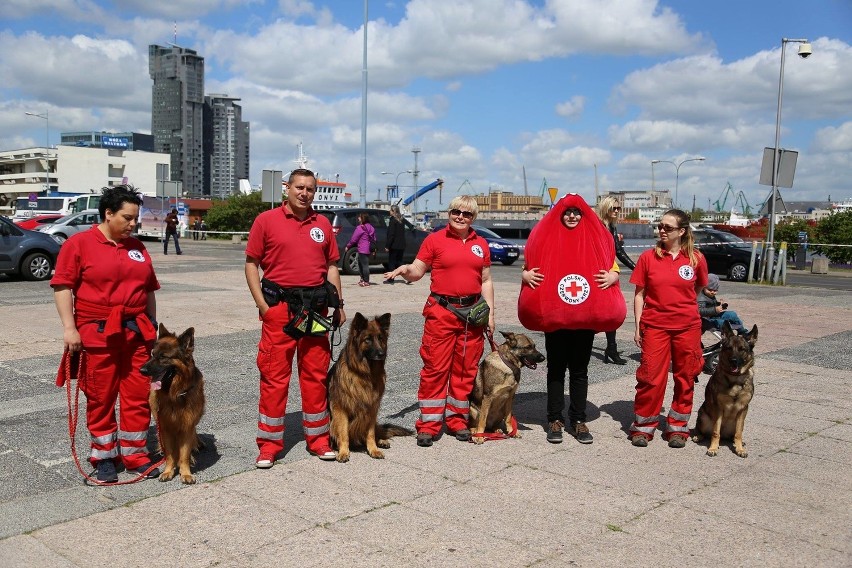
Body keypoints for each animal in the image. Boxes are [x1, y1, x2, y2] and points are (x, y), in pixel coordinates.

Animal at [141, 324, 206, 484]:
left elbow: (184, 455)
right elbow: (170, 454)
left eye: (163, 357)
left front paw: (186, 473)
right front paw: (168, 471)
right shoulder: (165, 428)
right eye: (152, 354)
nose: (142, 370)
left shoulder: (187, 426)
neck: (174, 394)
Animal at [328, 312, 412, 464]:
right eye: (368, 339)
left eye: (380, 338)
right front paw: (343, 452)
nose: (382, 354)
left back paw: (382, 441)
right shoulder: (340, 409)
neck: (364, 374)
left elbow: (371, 433)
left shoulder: (372, 408)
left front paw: (373, 450)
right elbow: (343, 433)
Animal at [692, 322, 760, 460]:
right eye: (729, 348)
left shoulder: (743, 408)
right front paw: (713, 448)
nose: (733, 361)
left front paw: (740, 449)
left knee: (735, 434)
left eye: (742, 349)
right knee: (703, 430)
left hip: (738, 422)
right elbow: (715, 432)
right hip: (703, 416)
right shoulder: (718, 408)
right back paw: (698, 436)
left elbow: (738, 434)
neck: (735, 380)